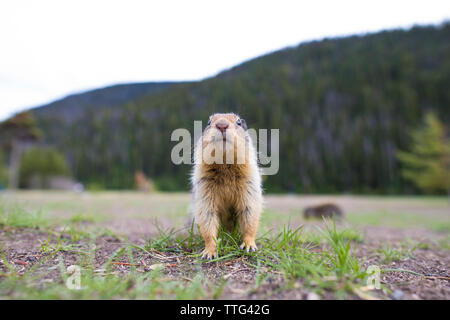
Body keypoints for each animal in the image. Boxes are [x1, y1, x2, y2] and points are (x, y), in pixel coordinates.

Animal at [191, 112, 264, 260]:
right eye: (208, 122)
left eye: (239, 122)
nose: (222, 125)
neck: (225, 163)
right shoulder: (204, 188)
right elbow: (207, 215)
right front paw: (209, 252)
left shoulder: (249, 184)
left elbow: (249, 211)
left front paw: (249, 245)